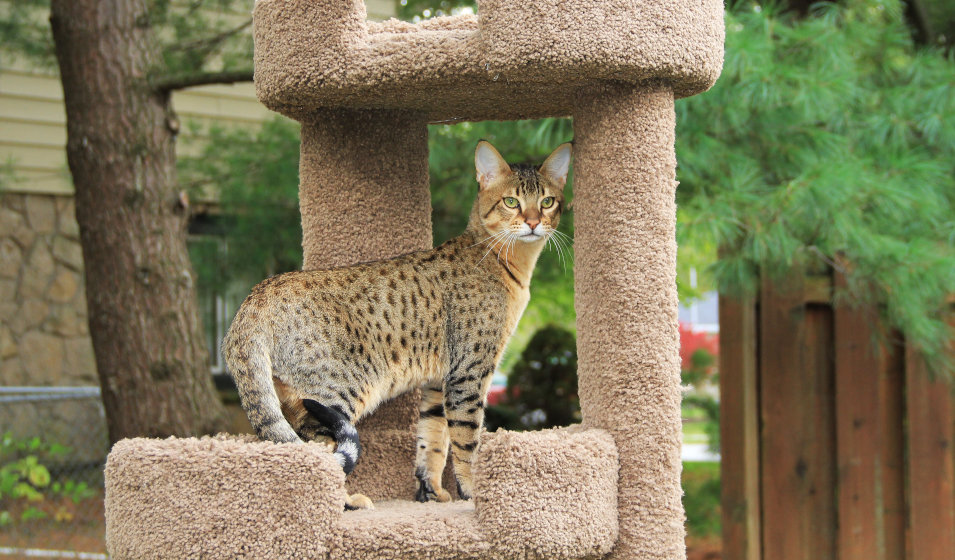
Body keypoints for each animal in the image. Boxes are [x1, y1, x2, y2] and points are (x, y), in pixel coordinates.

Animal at [220, 139, 572, 508]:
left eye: (547, 202)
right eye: (511, 202)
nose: (533, 222)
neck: (504, 264)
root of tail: (255, 297)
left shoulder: (439, 381)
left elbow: (433, 440)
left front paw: (433, 494)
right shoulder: (469, 373)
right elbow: (466, 441)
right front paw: (473, 494)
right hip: (337, 390)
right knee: (315, 447)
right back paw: (346, 502)